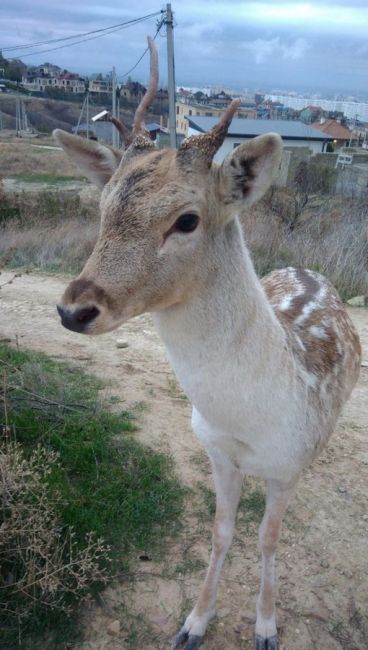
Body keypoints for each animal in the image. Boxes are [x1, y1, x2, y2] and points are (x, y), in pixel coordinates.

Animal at [53, 36, 360, 648]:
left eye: (187, 220)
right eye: (103, 208)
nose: (74, 308)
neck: (250, 418)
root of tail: (308, 268)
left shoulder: (286, 465)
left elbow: (268, 538)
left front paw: (266, 626)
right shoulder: (216, 451)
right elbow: (220, 533)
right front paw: (193, 623)